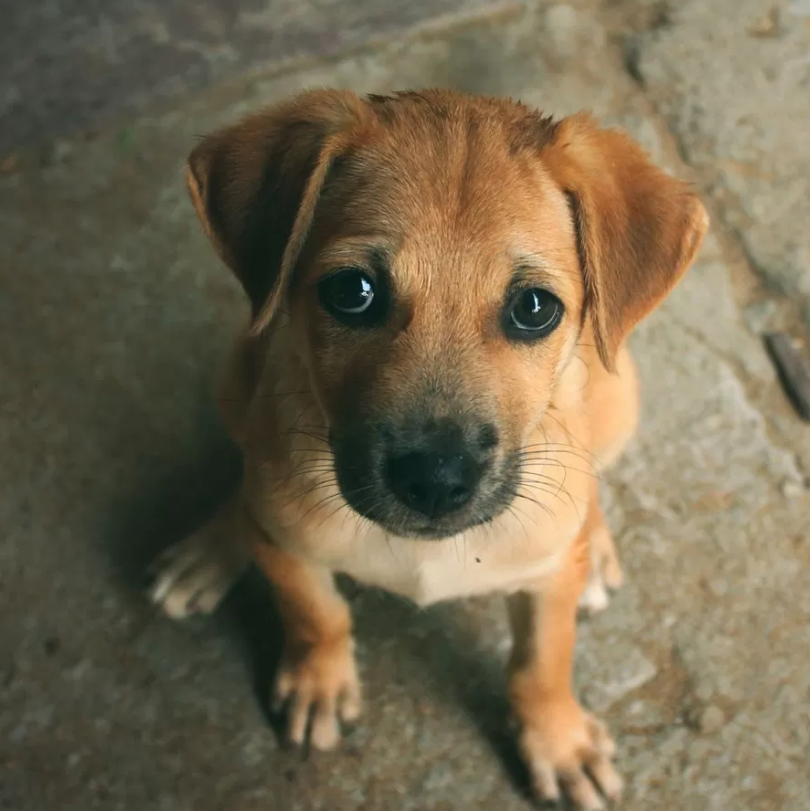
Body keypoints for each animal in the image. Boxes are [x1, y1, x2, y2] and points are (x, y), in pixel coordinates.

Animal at [148, 90, 704, 811]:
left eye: (534, 307)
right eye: (351, 292)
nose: (436, 480)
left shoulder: (544, 585)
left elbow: (542, 663)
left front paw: (557, 741)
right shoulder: (289, 548)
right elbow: (315, 613)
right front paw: (318, 680)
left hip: (619, 396)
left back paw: (596, 544)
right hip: (238, 372)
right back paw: (212, 545)